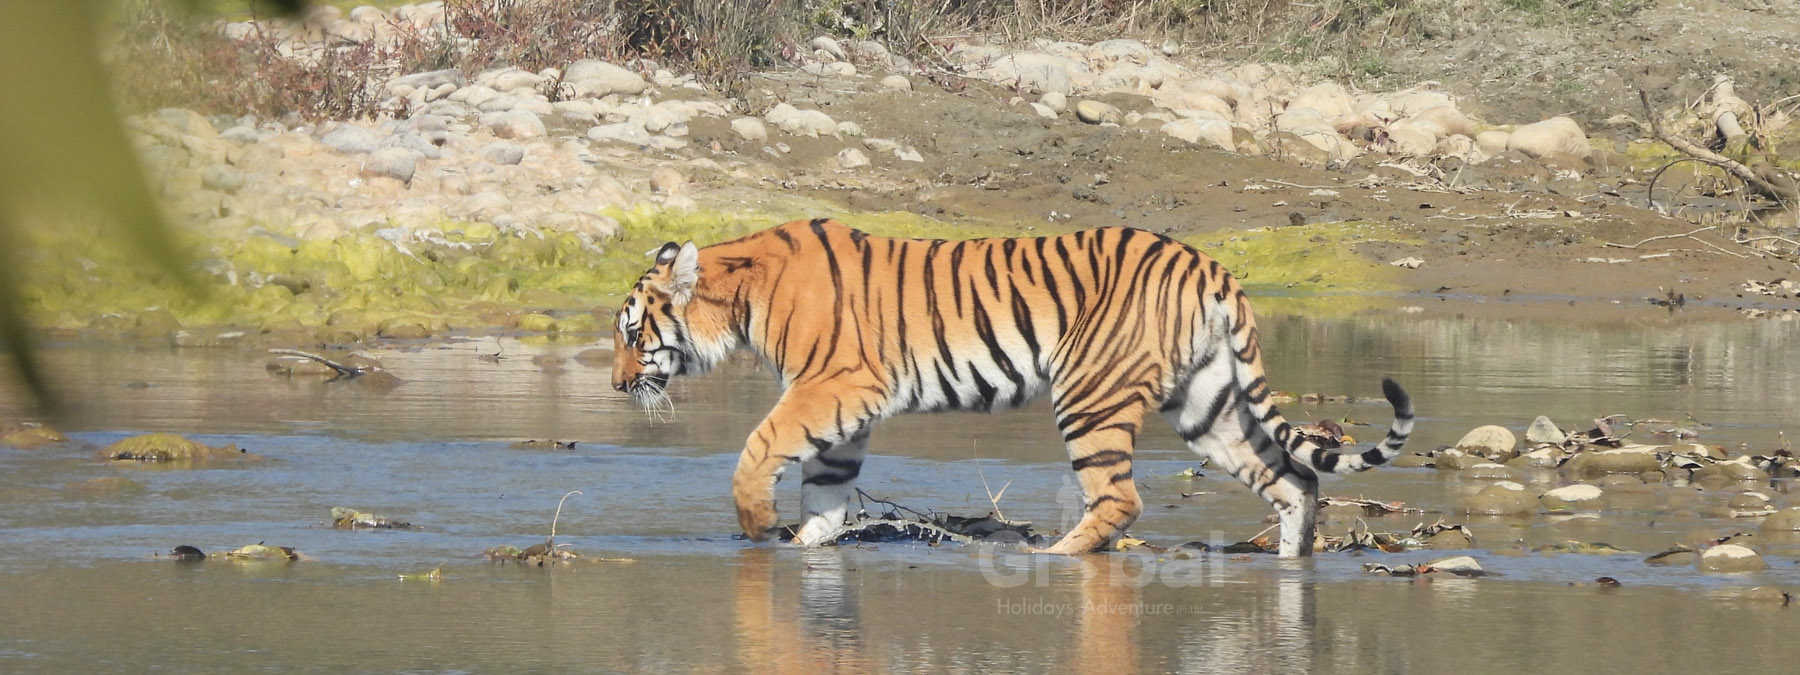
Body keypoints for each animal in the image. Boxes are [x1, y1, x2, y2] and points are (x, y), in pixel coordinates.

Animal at [610, 218, 1414, 557]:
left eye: (631, 332)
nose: (617, 386)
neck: (739, 296)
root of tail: (1208, 264)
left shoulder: (832, 385)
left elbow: (759, 447)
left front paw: (756, 526)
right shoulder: (846, 409)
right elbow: (828, 490)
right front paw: (804, 544)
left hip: (1090, 396)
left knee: (1120, 499)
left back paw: (1052, 557)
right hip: (1207, 403)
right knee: (1295, 480)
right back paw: (1294, 564)